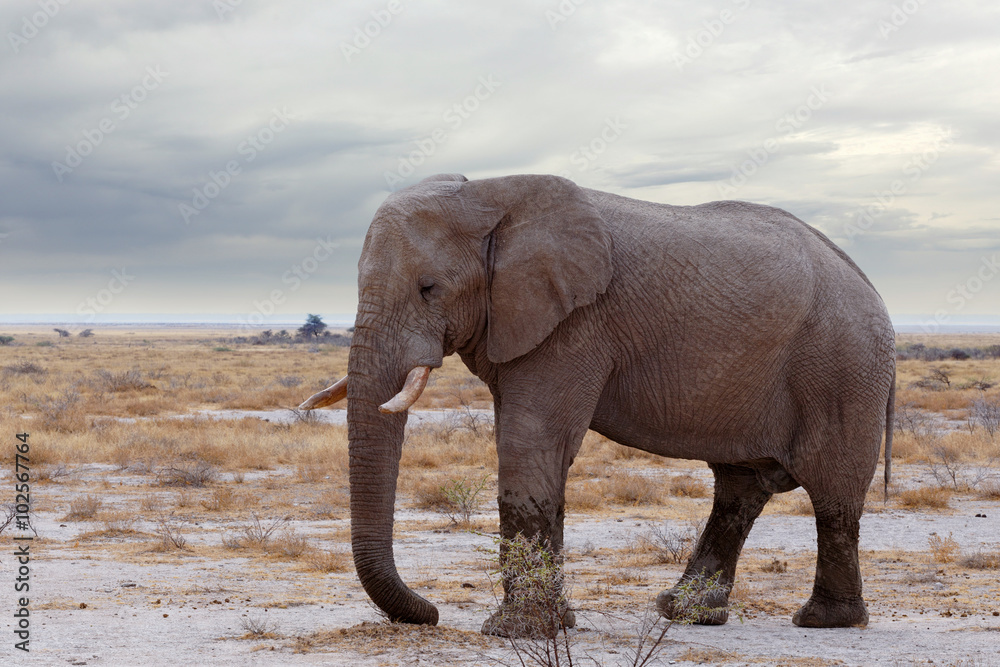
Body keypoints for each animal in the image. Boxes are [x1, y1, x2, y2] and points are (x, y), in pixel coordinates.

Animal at [300, 173, 896, 636]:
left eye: (429, 288)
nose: (432, 612)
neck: (493, 195)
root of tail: (870, 285)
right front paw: (546, 625)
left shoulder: (578, 322)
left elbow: (531, 439)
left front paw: (518, 631)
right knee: (739, 489)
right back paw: (683, 612)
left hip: (843, 368)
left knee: (832, 493)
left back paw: (824, 621)